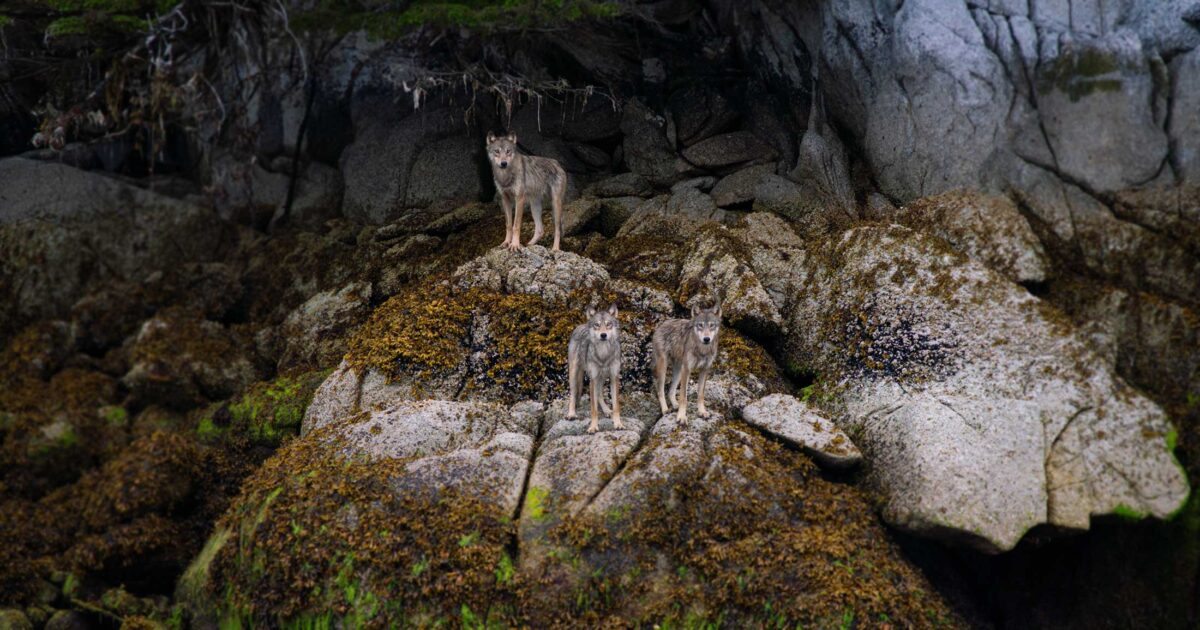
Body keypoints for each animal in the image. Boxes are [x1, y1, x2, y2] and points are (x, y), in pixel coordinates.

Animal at [566, 304, 623, 434]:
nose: (603, 335)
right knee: (572, 393)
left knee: (600, 394)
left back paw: (607, 410)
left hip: (602, 377)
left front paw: (618, 424)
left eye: (608, 324)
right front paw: (593, 427)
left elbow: (616, 406)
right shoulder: (593, 379)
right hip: (574, 374)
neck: (603, 353)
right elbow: (593, 408)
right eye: (597, 325)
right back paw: (571, 414)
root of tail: (581, 325)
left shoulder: (614, 378)